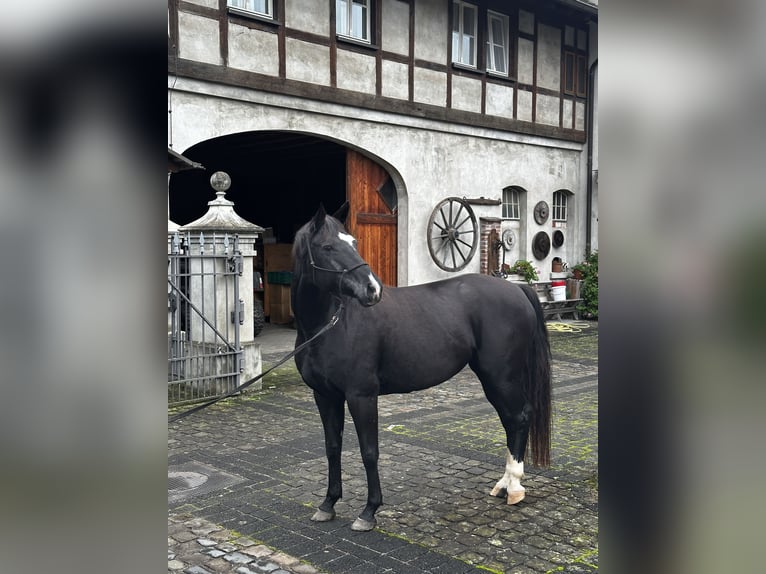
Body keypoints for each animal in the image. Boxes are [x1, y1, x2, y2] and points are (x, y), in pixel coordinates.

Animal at [292, 205, 548, 532]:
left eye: (354, 243)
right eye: (327, 247)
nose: (372, 289)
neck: (330, 325)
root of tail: (517, 290)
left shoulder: (361, 395)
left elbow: (369, 451)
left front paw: (369, 511)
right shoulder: (325, 396)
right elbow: (332, 447)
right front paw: (328, 504)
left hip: (502, 377)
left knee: (519, 417)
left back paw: (514, 487)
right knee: (510, 421)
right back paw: (503, 485)